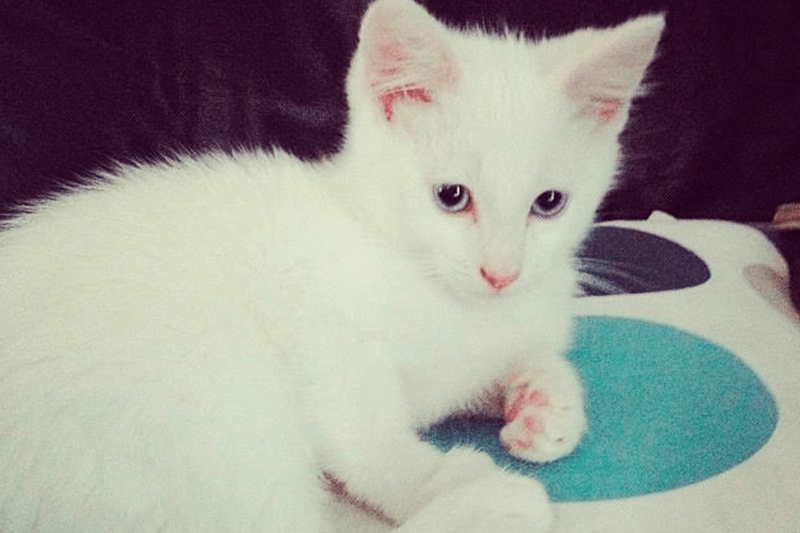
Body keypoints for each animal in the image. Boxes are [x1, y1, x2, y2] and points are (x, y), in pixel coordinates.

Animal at [0, 1, 664, 532]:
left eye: (549, 203)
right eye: (452, 196)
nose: (500, 273)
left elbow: (511, 361)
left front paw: (545, 406)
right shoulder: (323, 332)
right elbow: (369, 441)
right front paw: (434, 479)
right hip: (218, 394)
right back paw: (496, 503)